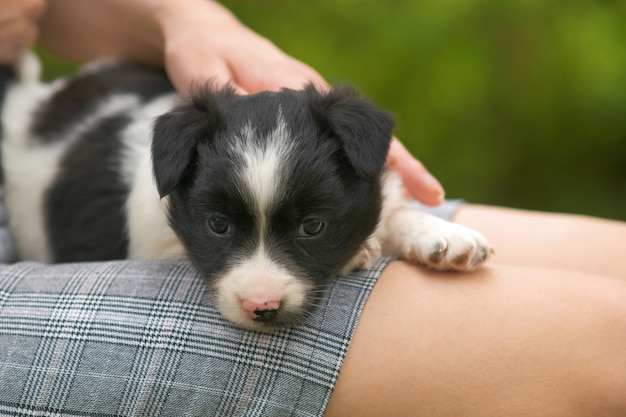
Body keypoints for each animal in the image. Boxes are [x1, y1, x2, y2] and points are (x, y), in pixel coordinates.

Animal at [2, 57, 490, 328]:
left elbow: (390, 209)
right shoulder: (153, 241)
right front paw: (365, 250)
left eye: (313, 227)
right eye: (218, 226)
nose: (262, 307)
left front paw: (443, 237)